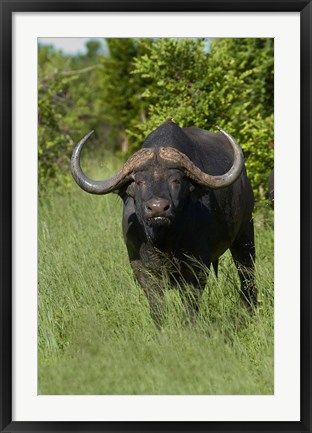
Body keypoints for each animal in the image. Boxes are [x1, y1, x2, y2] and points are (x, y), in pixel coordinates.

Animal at [71, 120, 256, 322]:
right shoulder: (141, 267)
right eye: (139, 181)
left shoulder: (197, 264)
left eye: (176, 180)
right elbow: (156, 304)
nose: (158, 208)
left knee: (247, 273)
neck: (163, 242)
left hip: (245, 233)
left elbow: (190, 302)